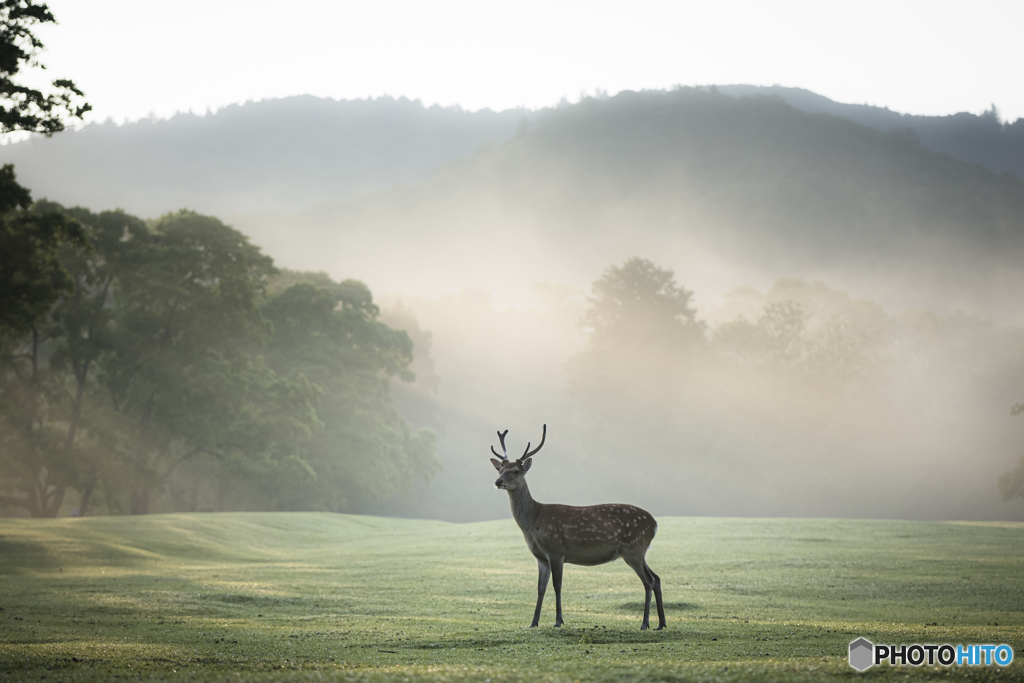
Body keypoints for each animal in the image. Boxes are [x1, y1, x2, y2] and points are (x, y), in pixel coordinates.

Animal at [491, 423, 667, 634]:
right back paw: (661, 623)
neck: (533, 522)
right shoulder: (540, 557)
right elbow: (540, 588)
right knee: (656, 578)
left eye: (516, 470)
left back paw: (645, 623)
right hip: (639, 551)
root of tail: (654, 524)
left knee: (648, 581)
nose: (498, 481)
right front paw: (533, 622)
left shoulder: (556, 549)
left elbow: (557, 585)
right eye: (500, 469)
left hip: (633, 547)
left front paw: (558, 620)